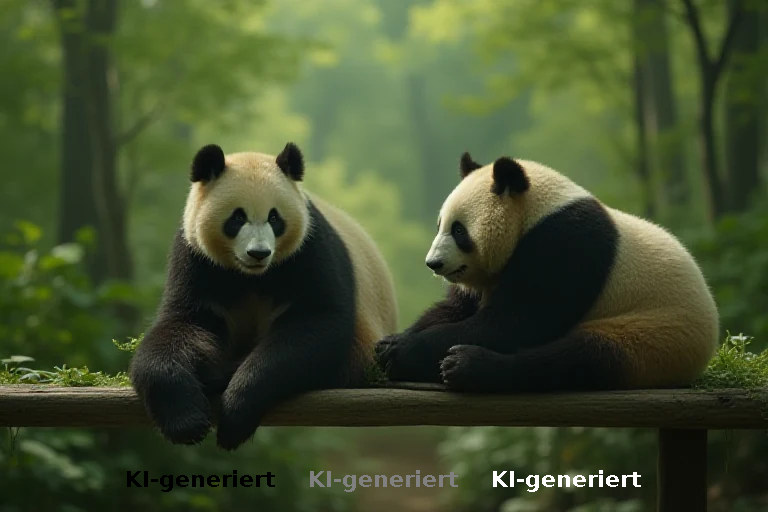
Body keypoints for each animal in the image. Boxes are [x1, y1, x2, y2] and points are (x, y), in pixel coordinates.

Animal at [129, 142, 398, 450]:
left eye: (274, 218)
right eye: (237, 217)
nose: (259, 253)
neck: (252, 276)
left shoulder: (309, 249)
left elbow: (314, 324)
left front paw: (236, 411)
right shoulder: (196, 259)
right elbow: (182, 326)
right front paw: (186, 421)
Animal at [376, 152, 719, 393]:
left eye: (459, 231)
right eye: (440, 226)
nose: (433, 263)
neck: (536, 211)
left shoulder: (565, 245)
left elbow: (518, 320)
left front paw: (403, 352)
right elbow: (457, 308)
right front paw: (391, 342)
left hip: (651, 335)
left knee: (577, 359)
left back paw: (468, 366)